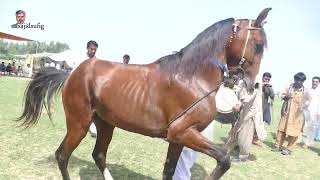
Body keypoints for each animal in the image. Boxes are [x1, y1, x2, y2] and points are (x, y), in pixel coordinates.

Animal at [17, 8, 272, 180]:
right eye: (258, 45)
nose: (251, 86)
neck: (192, 78)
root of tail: (72, 73)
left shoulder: (178, 137)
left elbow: (169, 171)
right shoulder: (183, 133)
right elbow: (224, 158)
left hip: (105, 124)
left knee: (98, 155)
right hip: (79, 123)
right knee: (62, 155)